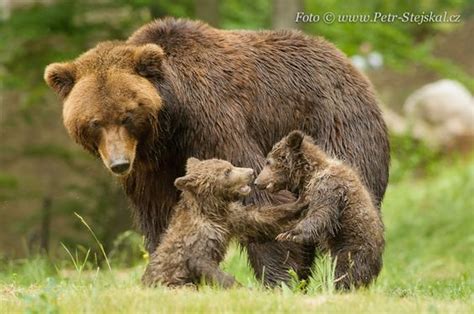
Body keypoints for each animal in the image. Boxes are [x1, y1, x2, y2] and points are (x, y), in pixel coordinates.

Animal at [43, 18, 388, 286]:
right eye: (94, 121)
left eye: (127, 114)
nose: (118, 163)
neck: (170, 125)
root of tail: (348, 62)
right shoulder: (151, 168)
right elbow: (160, 215)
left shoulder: (215, 122)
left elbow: (258, 196)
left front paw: (279, 279)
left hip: (336, 127)